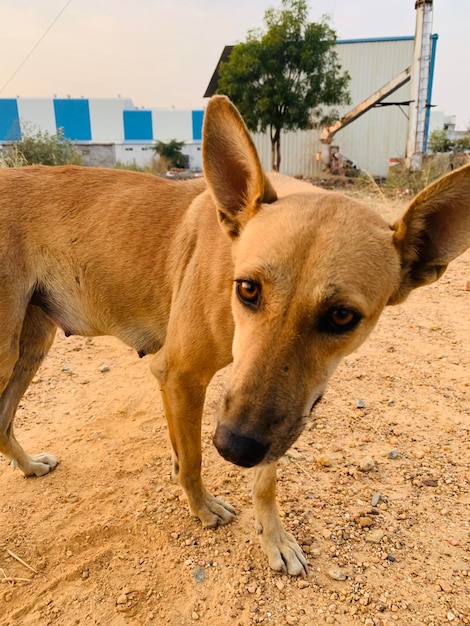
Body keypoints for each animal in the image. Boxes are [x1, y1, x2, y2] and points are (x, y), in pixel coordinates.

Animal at [0, 96, 470, 576]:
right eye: (248, 289)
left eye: (342, 316)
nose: (236, 448)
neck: (232, 251)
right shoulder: (179, 375)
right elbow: (191, 460)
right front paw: (203, 509)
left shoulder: (271, 415)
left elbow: (264, 480)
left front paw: (274, 538)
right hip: (8, 350)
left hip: (31, 345)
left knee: (3, 420)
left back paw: (29, 465)